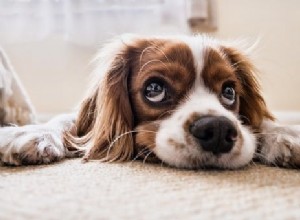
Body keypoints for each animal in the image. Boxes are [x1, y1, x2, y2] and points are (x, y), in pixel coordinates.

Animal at [0, 34, 300, 168]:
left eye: (229, 92)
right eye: (154, 89)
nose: (217, 129)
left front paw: (285, 133)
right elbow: (67, 120)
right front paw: (31, 134)